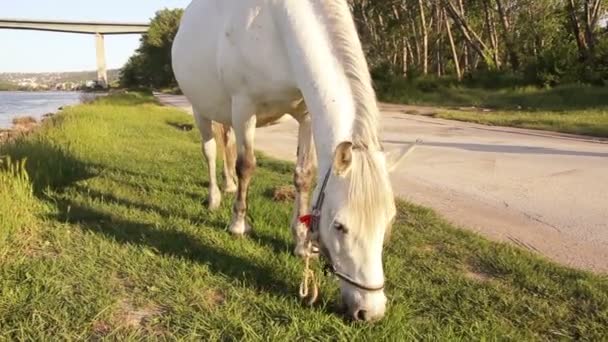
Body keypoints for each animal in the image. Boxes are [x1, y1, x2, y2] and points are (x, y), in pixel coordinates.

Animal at [172, 0, 408, 320]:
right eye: (339, 226)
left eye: (388, 223)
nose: (369, 313)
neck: (277, 26)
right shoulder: (244, 106)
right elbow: (247, 166)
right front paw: (238, 225)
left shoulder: (305, 113)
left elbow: (304, 175)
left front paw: (300, 242)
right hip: (201, 109)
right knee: (210, 151)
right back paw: (215, 198)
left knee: (226, 144)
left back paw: (229, 186)